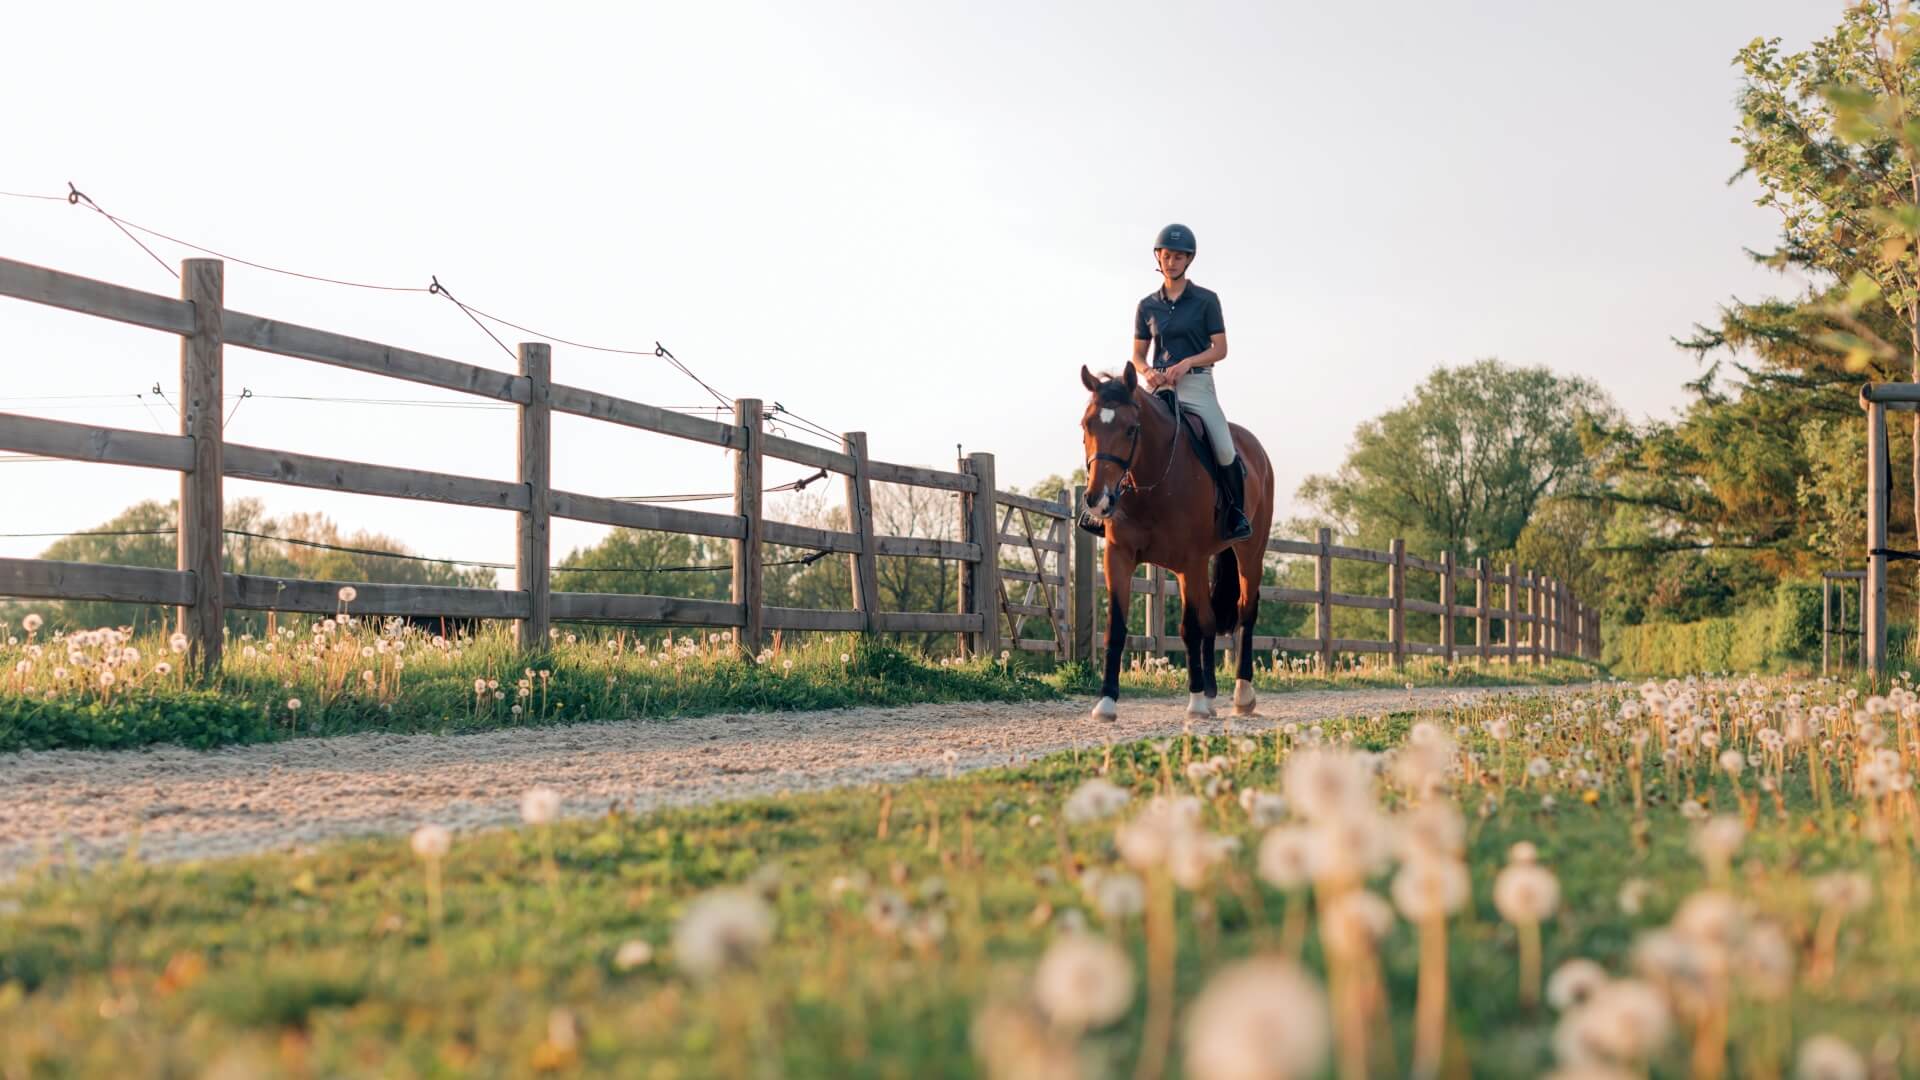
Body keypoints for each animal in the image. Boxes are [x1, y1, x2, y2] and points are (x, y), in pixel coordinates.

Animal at [1079, 363, 1276, 720]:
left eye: (1131, 429)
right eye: (1087, 425)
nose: (1097, 500)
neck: (1152, 481)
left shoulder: (1189, 562)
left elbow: (1190, 628)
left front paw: (1195, 702)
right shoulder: (1119, 556)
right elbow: (1117, 626)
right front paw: (1107, 702)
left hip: (1250, 553)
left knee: (1245, 612)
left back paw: (1242, 695)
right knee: (1211, 619)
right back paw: (1211, 695)